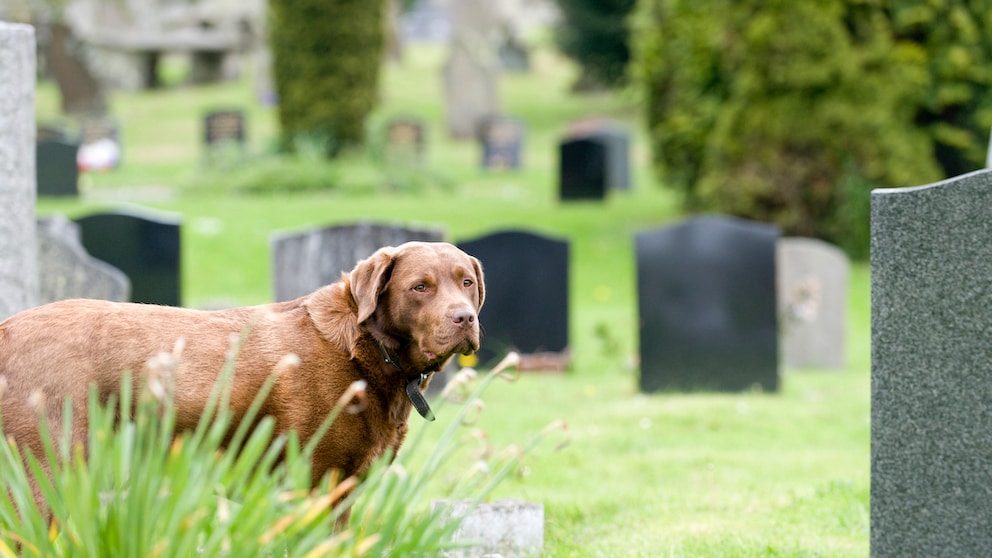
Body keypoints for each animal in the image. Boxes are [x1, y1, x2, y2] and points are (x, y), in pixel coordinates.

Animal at [0, 242, 484, 494]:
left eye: (467, 282)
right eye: (420, 287)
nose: (465, 318)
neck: (363, 352)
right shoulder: (310, 480)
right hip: (46, 467)